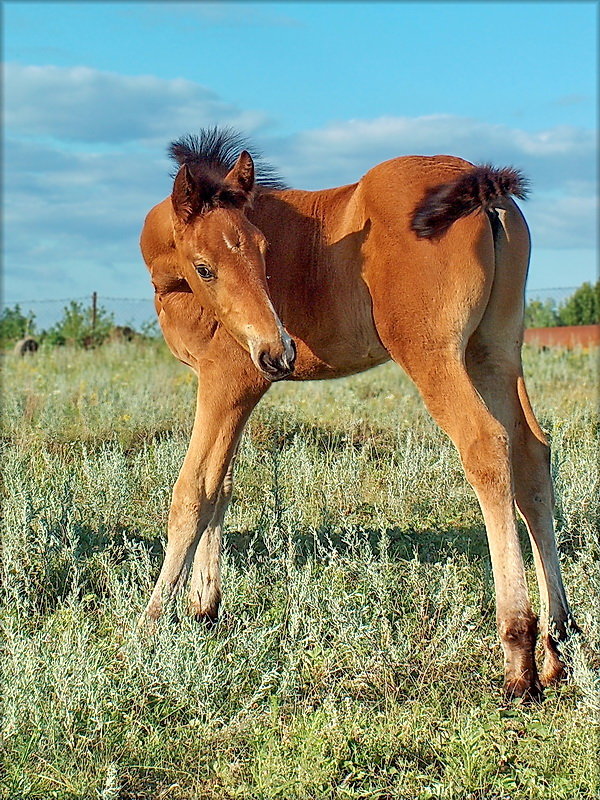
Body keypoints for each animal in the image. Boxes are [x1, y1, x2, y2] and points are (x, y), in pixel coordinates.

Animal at [139, 128, 576, 696]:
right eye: (205, 267)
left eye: (265, 253)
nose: (280, 352)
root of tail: (477, 180)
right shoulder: (235, 388)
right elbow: (222, 484)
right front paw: (203, 609)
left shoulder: (230, 381)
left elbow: (193, 490)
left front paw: (151, 622)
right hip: (495, 352)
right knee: (531, 454)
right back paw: (554, 644)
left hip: (433, 354)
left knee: (487, 445)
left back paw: (519, 658)